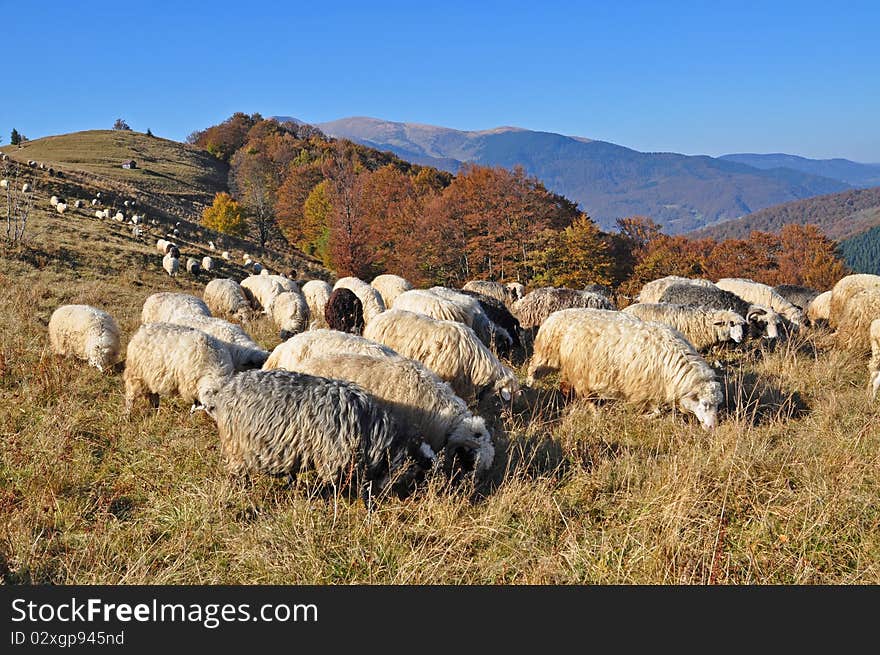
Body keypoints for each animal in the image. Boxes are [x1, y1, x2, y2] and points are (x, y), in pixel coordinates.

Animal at [192, 368, 434, 508]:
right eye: (411, 478)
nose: (383, 502)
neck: (370, 431)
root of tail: (228, 387)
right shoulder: (332, 460)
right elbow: (329, 487)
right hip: (236, 445)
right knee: (237, 473)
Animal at [524, 308, 720, 430]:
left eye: (717, 405)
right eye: (704, 404)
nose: (713, 427)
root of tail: (554, 315)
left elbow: (658, 411)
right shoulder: (641, 388)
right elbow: (655, 411)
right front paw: (641, 417)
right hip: (551, 357)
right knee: (534, 368)